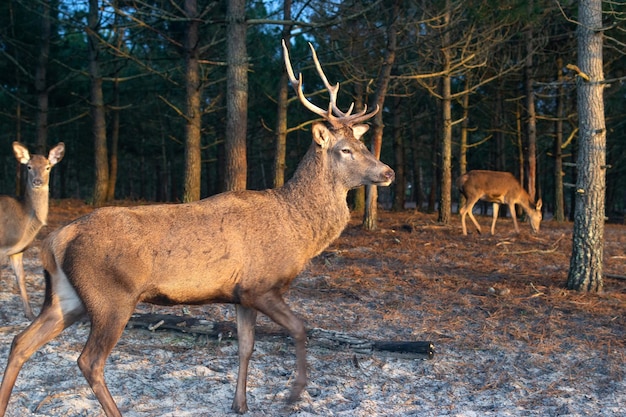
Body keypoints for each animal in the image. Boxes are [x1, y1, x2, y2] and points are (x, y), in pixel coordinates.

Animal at [0, 141, 64, 318]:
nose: (37, 181)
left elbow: (21, 278)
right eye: (29, 167)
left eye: (48, 167)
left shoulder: (17, 251)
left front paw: (30, 314)